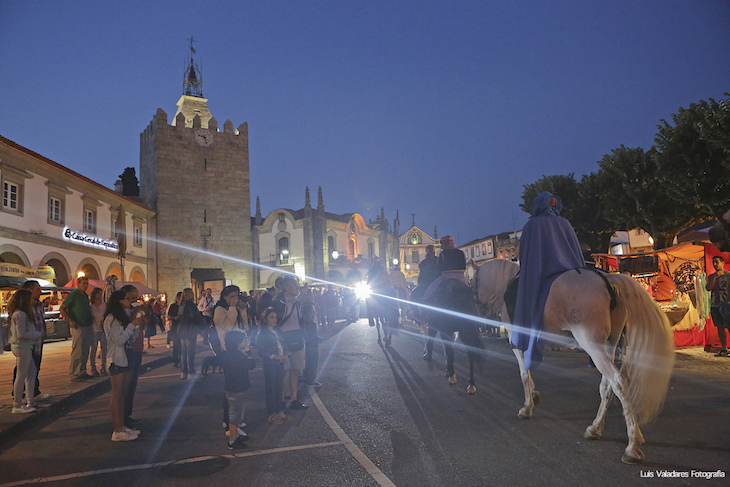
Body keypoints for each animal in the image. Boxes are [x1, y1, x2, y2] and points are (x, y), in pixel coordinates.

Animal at [474, 260, 672, 466]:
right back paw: (595, 428)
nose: (479, 309)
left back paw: (632, 446)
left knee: (618, 382)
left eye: (474, 281)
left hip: (591, 343)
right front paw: (534, 396)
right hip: (611, 342)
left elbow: (523, 374)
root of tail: (608, 278)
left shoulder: (517, 339)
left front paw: (527, 407)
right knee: (607, 386)